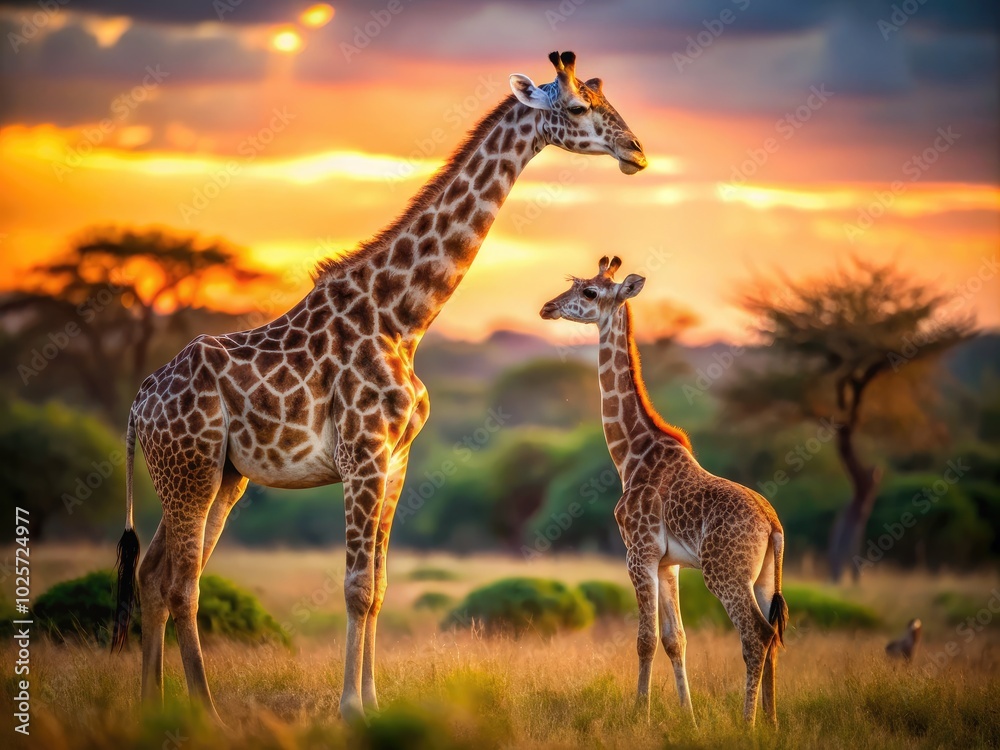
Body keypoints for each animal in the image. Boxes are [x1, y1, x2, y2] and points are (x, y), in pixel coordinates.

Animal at [110, 51, 648, 724]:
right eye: (577, 108)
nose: (637, 151)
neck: (402, 317)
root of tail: (137, 404)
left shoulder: (395, 460)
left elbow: (380, 587)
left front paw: (371, 701)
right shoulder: (361, 455)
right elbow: (356, 586)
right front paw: (349, 709)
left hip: (217, 476)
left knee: (155, 573)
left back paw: (152, 707)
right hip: (192, 470)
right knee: (183, 581)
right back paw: (205, 711)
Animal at [540, 256, 789, 728]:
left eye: (589, 293)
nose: (547, 307)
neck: (630, 455)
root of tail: (772, 524)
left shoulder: (638, 552)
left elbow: (646, 638)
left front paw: (641, 712)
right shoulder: (668, 563)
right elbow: (677, 639)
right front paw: (687, 715)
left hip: (725, 573)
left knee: (756, 635)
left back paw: (747, 725)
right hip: (765, 575)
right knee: (774, 636)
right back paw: (771, 722)